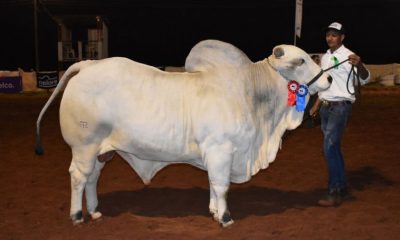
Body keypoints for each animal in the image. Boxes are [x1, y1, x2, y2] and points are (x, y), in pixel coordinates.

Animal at [36, 39, 332, 227]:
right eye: (302, 60)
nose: (329, 78)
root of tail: (87, 64)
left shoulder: (217, 155)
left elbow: (213, 183)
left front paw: (214, 212)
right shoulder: (221, 150)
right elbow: (222, 185)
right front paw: (225, 218)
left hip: (102, 151)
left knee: (92, 178)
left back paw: (96, 212)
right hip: (84, 146)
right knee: (78, 177)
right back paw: (77, 215)